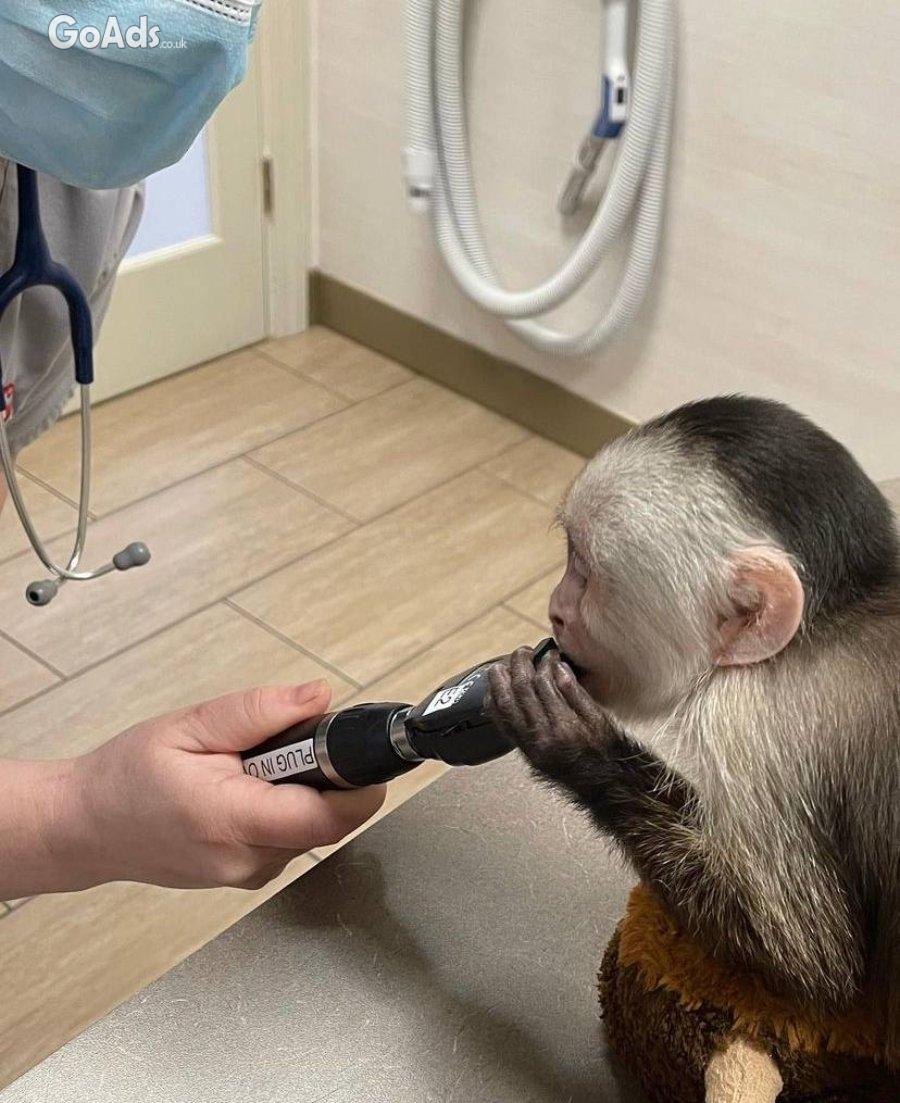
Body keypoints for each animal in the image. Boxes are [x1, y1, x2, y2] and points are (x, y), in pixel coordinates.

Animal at [487, 396, 900, 1063]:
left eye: (583, 572)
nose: (554, 608)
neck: (822, 629)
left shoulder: (747, 722)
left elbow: (809, 958)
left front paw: (573, 743)